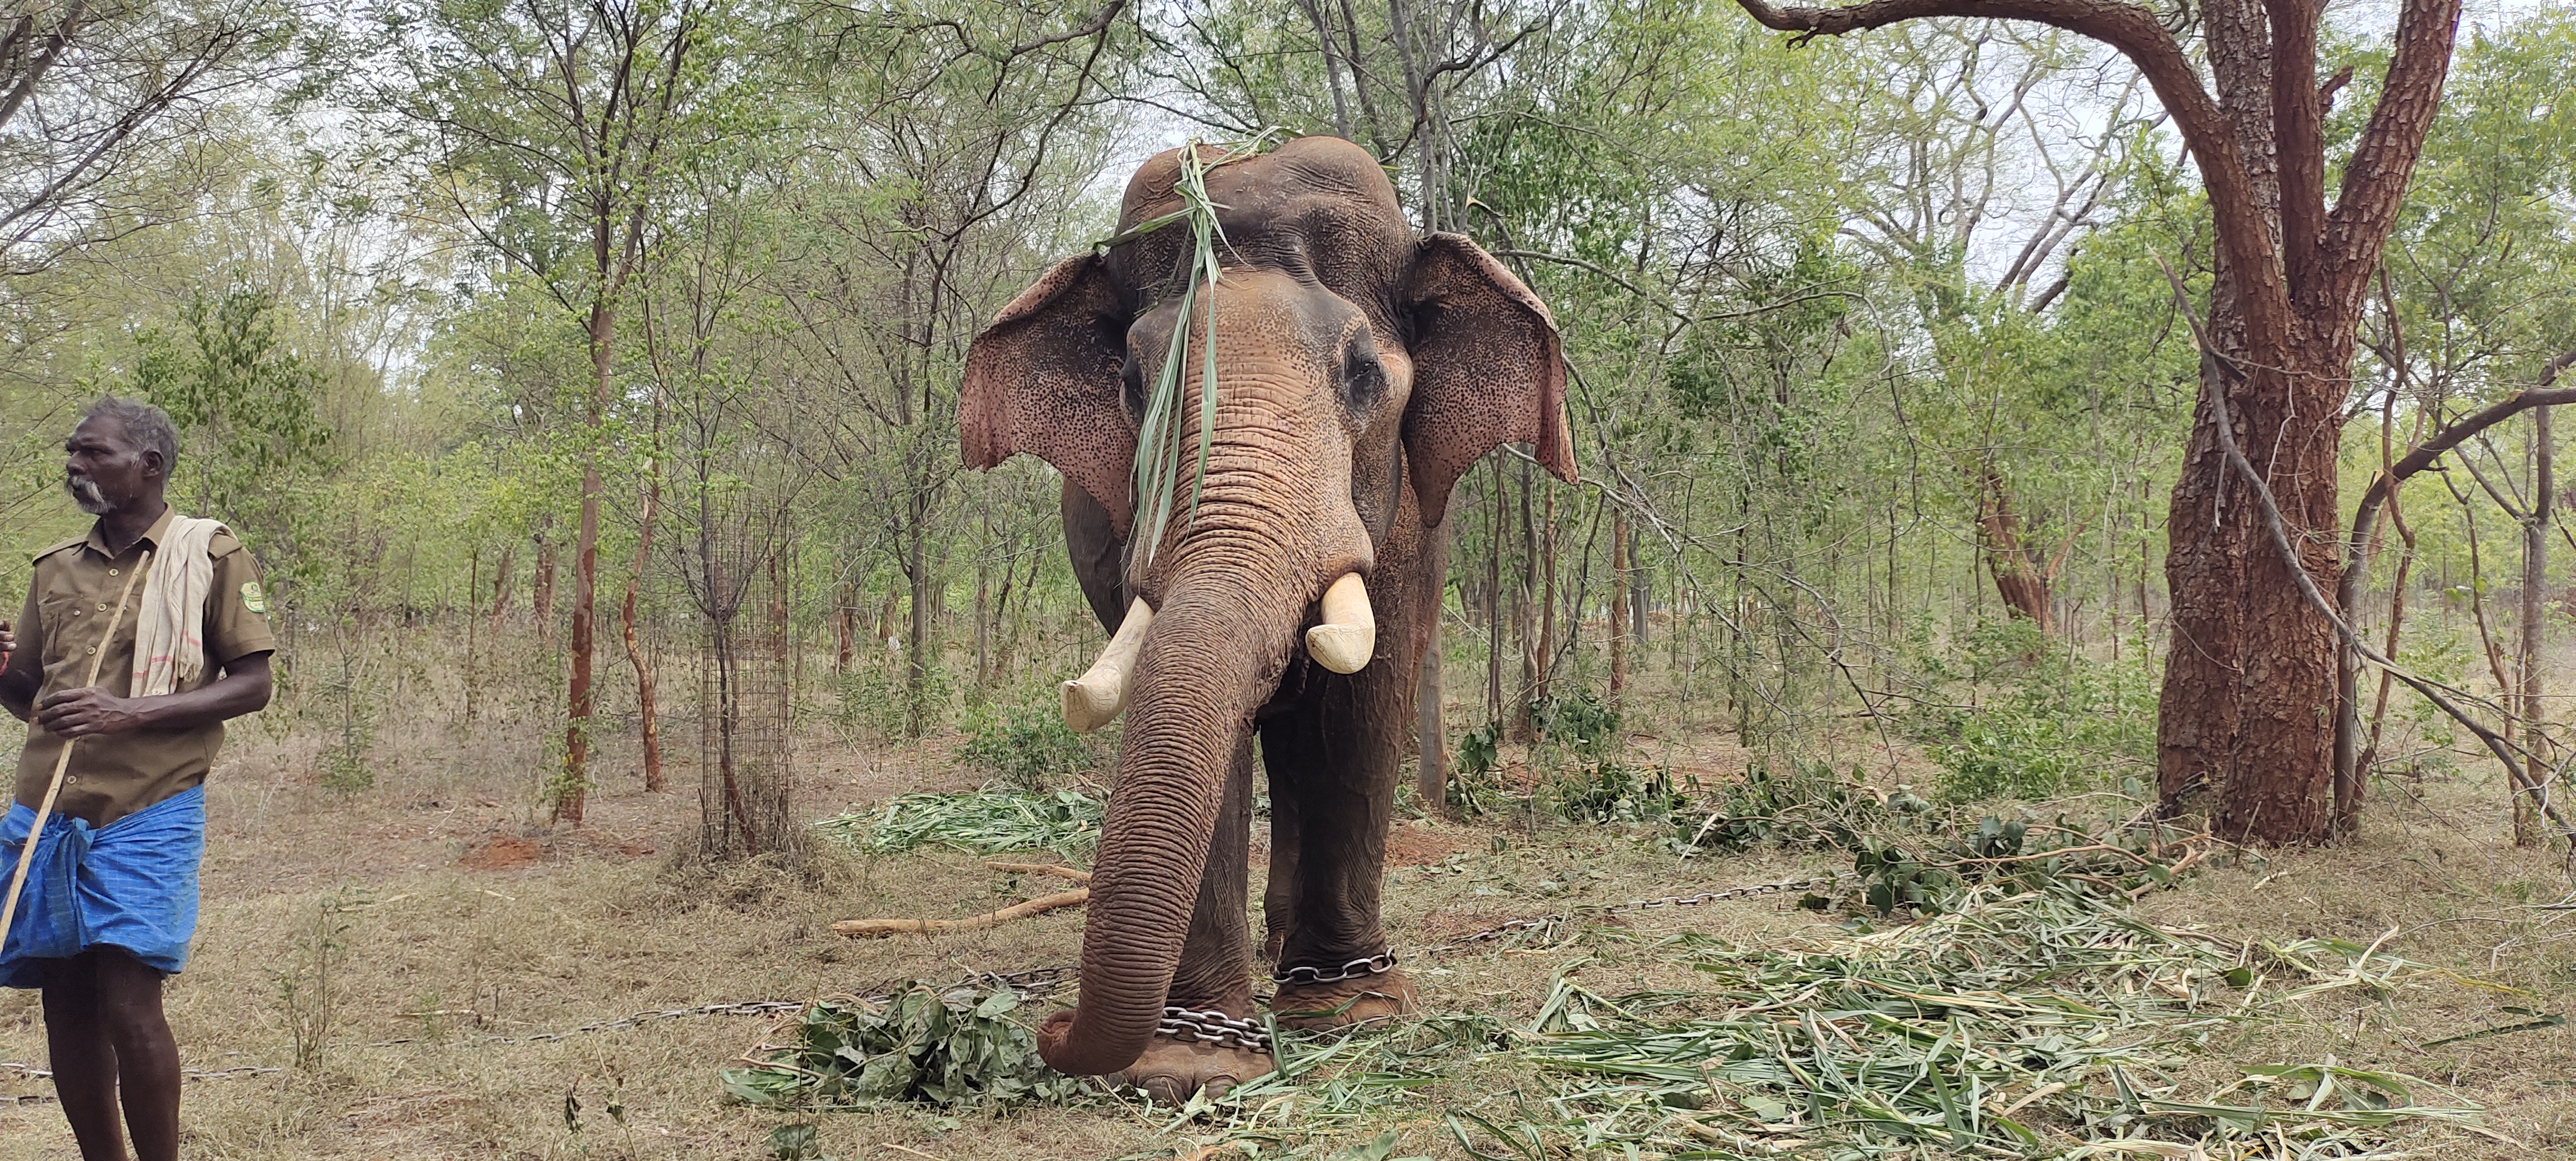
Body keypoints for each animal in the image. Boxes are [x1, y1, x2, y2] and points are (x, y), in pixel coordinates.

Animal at [963, 134, 1576, 1102]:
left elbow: (1362, 705)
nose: (1051, 1028)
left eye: (1364, 375)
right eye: (1132, 382)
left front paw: (1352, 1013)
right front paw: (1194, 1056)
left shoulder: (1407, 531)